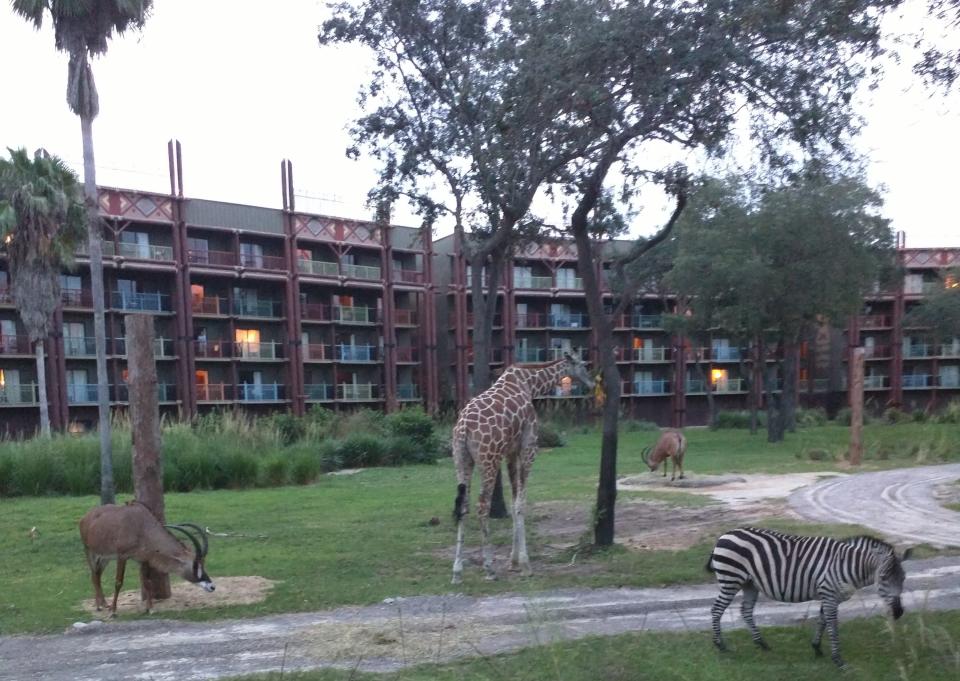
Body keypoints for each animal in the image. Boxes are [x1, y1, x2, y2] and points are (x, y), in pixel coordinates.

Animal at [79, 500, 216, 616]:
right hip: (90, 551)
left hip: (104, 558)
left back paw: (103, 604)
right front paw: (113, 611)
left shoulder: (143, 559)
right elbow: (118, 582)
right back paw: (99, 606)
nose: (212, 587)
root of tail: (86, 517)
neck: (142, 527)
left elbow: (148, 582)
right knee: (94, 576)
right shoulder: (122, 556)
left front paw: (150, 608)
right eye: (195, 566)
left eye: (203, 564)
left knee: (97, 575)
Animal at [450, 354, 592, 580]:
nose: (592, 383)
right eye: (583, 365)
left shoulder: (510, 451)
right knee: (482, 505)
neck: (529, 384)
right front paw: (525, 564)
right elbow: (520, 503)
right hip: (489, 460)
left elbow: (514, 498)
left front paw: (513, 561)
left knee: (463, 505)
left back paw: (457, 571)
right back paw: (489, 568)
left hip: (461, 460)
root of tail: (463, 429)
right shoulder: (528, 447)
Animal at [708, 524, 912, 668]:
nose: (898, 612)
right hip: (731, 580)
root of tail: (726, 533)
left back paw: (761, 644)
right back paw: (720, 645)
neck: (846, 564)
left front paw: (817, 648)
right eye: (883, 578)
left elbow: (822, 621)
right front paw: (838, 660)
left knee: (746, 610)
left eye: (903, 578)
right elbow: (832, 626)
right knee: (717, 609)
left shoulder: (829, 595)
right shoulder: (829, 595)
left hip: (750, 584)